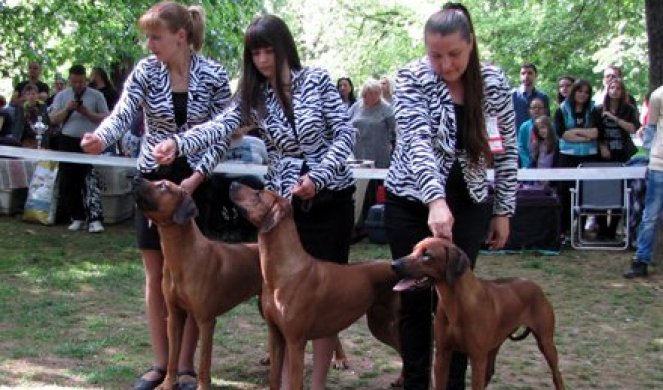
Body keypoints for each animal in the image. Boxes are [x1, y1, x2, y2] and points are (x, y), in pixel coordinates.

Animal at [133, 179, 262, 390]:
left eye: (163, 186)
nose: (135, 178)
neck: (182, 255)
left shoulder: (206, 320)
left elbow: (203, 362)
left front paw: (202, 386)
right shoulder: (174, 315)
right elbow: (172, 358)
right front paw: (167, 384)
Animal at [230, 184, 400, 390]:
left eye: (258, 194)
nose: (233, 184)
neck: (283, 272)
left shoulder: (295, 342)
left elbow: (296, 382)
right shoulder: (276, 335)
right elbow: (274, 379)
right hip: (379, 324)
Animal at [394, 236, 564, 388]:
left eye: (427, 255)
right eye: (413, 250)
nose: (394, 264)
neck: (455, 304)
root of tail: (535, 285)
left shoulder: (477, 358)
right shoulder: (442, 354)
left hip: (545, 342)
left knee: (557, 375)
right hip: (495, 343)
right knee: (489, 372)